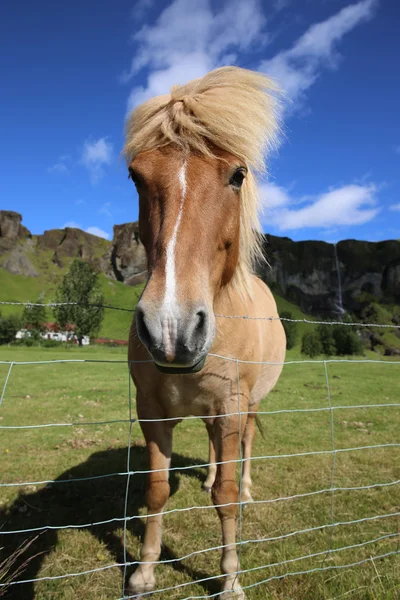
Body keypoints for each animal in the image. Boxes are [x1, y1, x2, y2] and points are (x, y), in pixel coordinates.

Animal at [124, 67, 284, 600]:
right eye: (136, 176)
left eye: (237, 175)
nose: (171, 327)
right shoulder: (153, 412)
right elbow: (157, 490)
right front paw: (144, 571)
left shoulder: (232, 406)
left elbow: (227, 497)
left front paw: (230, 578)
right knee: (216, 455)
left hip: (248, 406)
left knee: (245, 449)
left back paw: (250, 485)